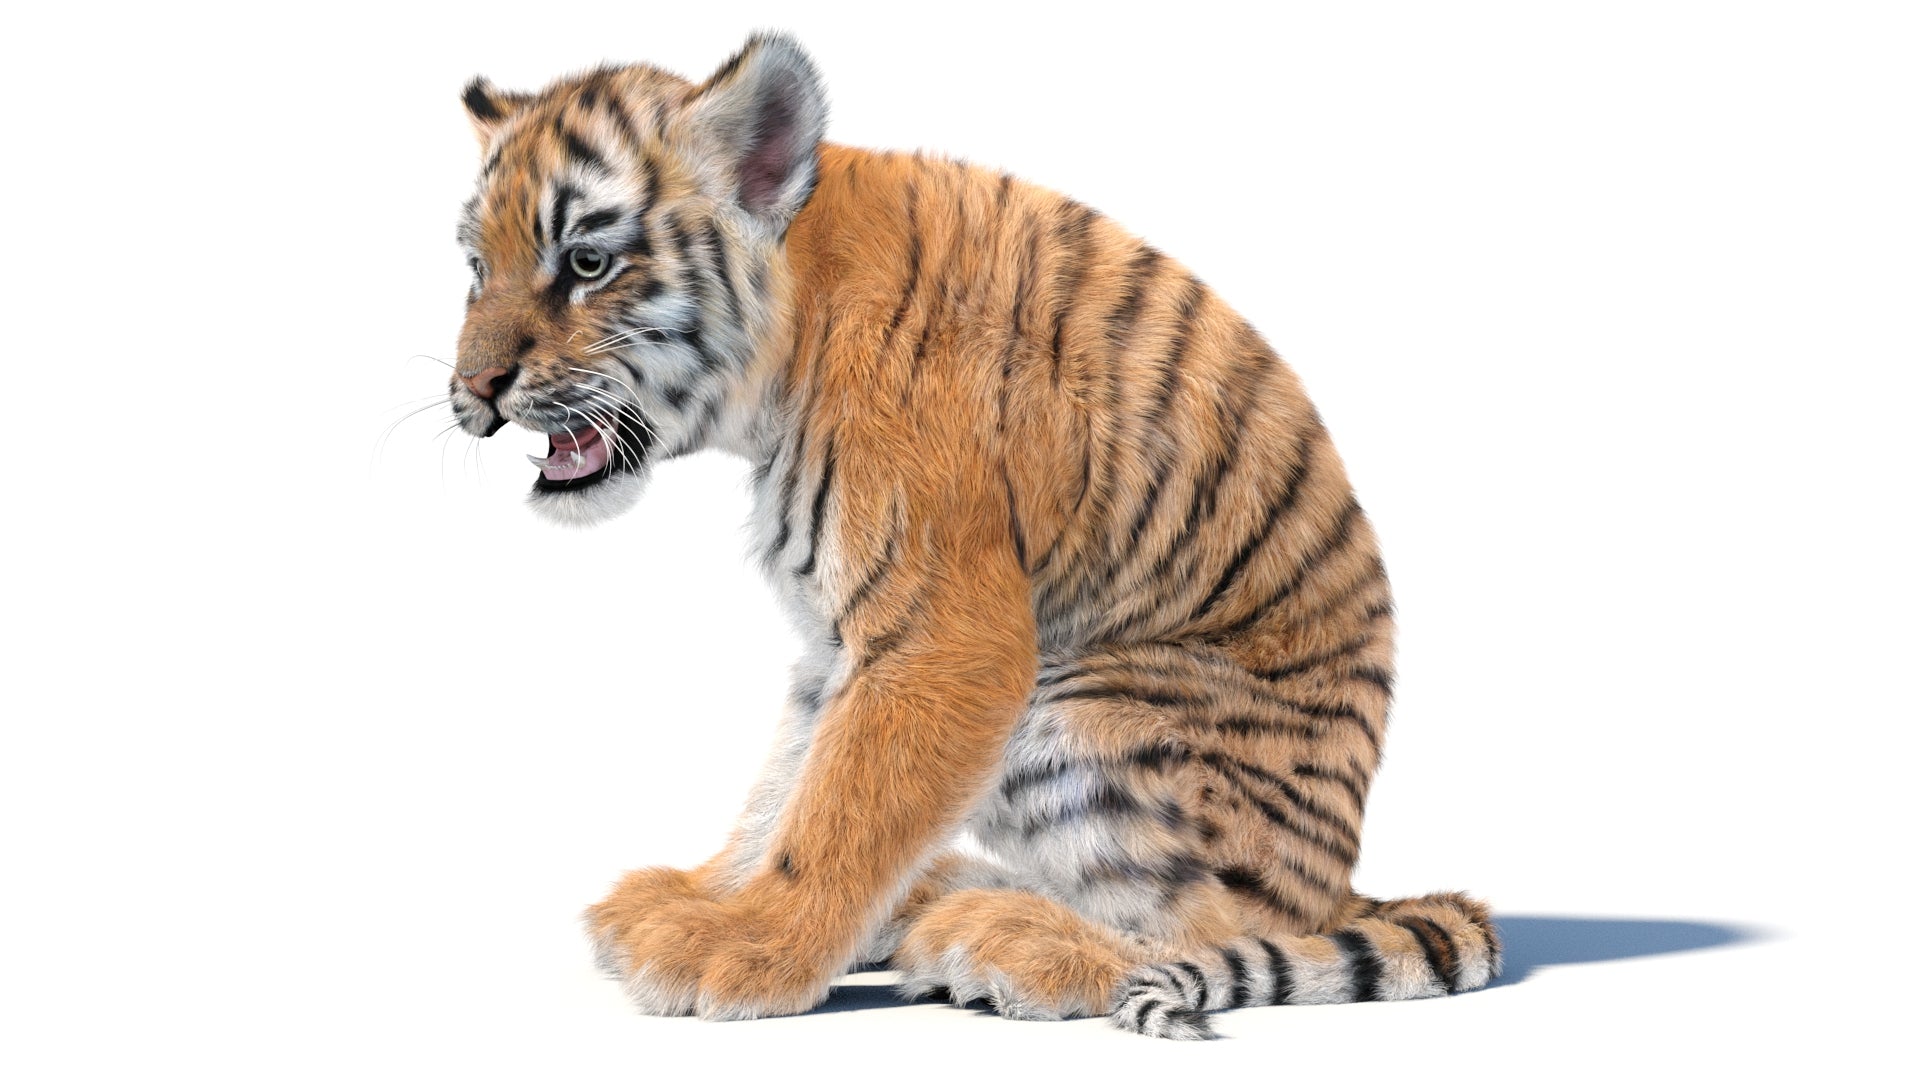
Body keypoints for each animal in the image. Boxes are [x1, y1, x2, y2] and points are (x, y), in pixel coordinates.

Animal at [447, 32, 1499, 1039]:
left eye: (587, 264)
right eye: (475, 268)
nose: (474, 389)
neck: (785, 351)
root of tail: (1339, 880)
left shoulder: (944, 632)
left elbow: (843, 810)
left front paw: (742, 951)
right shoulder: (838, 640)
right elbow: (786, 785)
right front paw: (700, 899)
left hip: (1082, 701)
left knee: (1222, 931)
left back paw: (1000, 938)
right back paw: (939, 898)